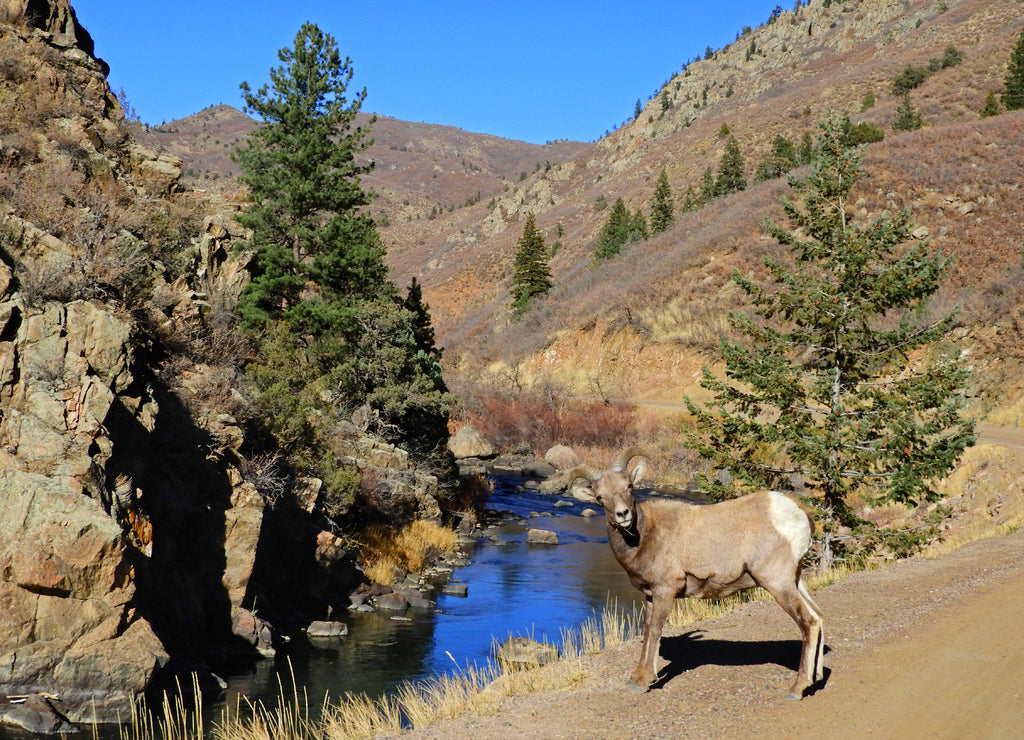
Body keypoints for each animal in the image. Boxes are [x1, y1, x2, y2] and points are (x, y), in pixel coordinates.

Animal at [550, 447, 824, 700]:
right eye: (600, 497)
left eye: (629, 487)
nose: (623, 514)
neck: (644, 536)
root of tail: (799, 513)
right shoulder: (650, 595)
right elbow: (647, 630)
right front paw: (636, 677)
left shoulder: (665, 591)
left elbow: (656, 630)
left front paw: (644, 682)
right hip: (795, 580)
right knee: (818, 616)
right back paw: (816, 679)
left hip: (776, 582)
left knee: (808, 621)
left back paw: (797, 688)